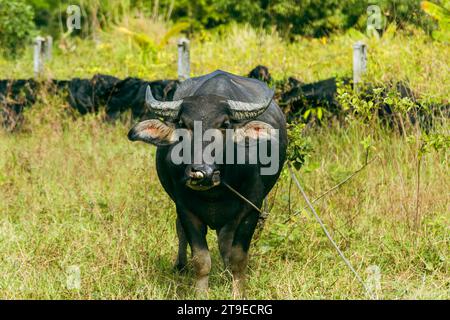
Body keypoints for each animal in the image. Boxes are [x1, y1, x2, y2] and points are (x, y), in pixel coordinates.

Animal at [128, 70, 286, 298]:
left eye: (225, 125)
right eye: (183, 124)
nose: (201, 171)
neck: (214, 192)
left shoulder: (251, 208)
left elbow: (238, 257)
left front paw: (237, 291)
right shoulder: (186, 209)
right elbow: (201, 260)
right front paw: (201, 292)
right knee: (181, 230)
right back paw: (180, 266)